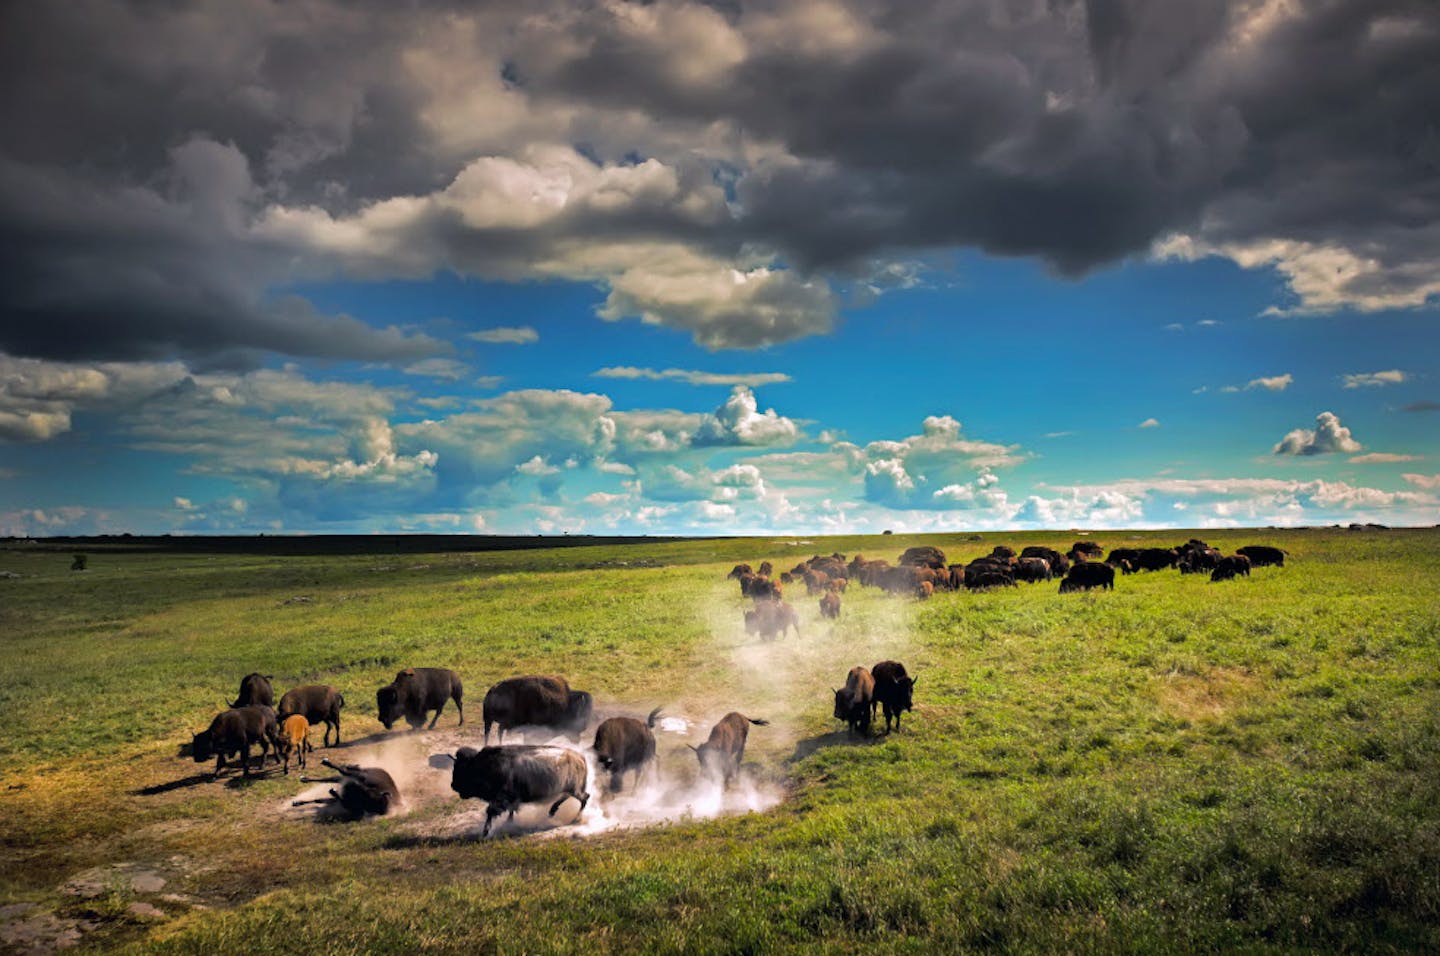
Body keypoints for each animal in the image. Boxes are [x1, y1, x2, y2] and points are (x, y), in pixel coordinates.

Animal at [449, 748, 590, 835]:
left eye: (463, 769)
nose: (453, 786)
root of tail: (580, 757)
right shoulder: (510, 799)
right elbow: (510, 810)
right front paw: (508, 822)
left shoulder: (502, 798)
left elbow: (491, 811)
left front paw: (485, 832)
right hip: (569, 788)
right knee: (572, 797)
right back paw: (552, 811)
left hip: (574, 789)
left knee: (584, 798)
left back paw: (575, 819)